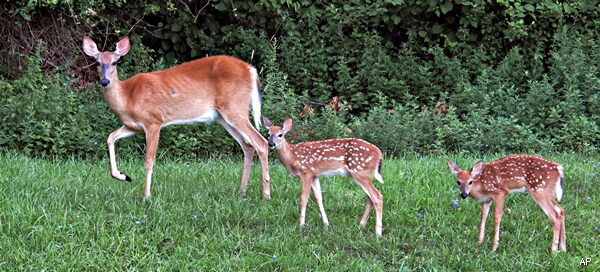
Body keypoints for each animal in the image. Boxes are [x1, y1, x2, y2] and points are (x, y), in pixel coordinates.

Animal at [83, 36, 270, 199]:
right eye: (97, 62)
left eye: (115, 62)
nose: (105, 81)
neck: (128, 97)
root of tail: (251, 70)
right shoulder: (132, 126)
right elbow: (110, 137)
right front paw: (122, 176)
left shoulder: (153, 121)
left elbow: (149, 160)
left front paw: (146, 196)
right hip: (223, 116)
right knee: (248, 145)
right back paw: (242, 192)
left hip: (235, 108)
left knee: (261, 142)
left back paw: (266, 195)